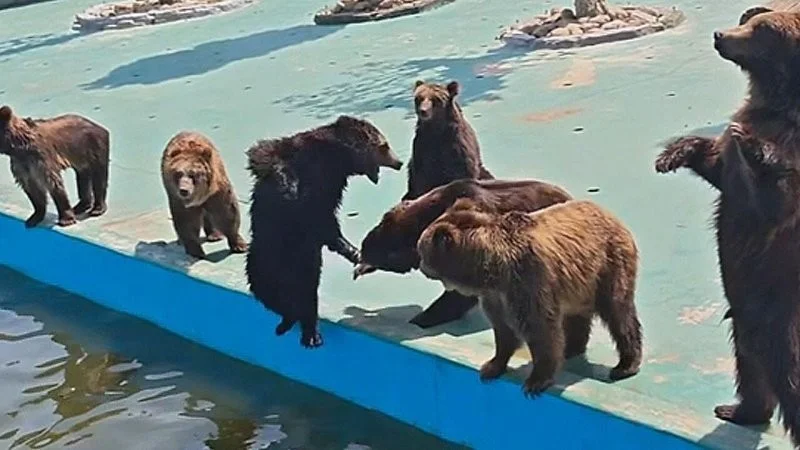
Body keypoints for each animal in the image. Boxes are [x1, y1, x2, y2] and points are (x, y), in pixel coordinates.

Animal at [160, 131, 248, 259]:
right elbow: (186, 221)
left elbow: (227, 213)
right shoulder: (179, 201)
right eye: (178, 173)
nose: (184, 190)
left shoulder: (218, 191)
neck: (200, 194)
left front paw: (239, 245)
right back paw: (181, 241)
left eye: (192, 174)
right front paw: (196, 250)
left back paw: (215, 234)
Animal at [245, 115, 404, 349]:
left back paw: (308, 331)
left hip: (303, 263)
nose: (399, 162)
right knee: (265, 289)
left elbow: (326, 224)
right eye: (384, 146)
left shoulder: (329, 190)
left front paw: (354, 251)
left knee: (305, 294)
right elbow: (265, 157)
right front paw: (288, 189)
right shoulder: (295, 156)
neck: (336, 159)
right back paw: (288, 322)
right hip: (261, 259)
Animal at [416, 198, 643, 397]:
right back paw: (571, 348)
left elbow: (540, 330)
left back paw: (625, 365)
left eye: (421, 249)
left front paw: (535, 382)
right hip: (580, 283)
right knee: (577, 316)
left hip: (609, 265)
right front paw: (491, 366)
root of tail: (612, 216)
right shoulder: (495, 297)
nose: (420, 265)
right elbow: (503, 331)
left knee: (618, 313)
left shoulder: (527, 282)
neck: (492, 270)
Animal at [654, 8, 800, 445]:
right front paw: (673, 153)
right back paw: (736, 409)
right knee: (750, 368)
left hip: (777, 306)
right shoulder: (729, 167)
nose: (720, 34)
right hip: (743, 315)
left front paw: (757, 149)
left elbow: (775, 203)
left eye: (762, 30)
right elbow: (718, 165)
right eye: (753, 17)